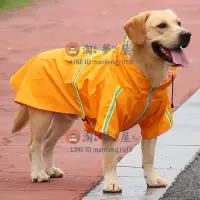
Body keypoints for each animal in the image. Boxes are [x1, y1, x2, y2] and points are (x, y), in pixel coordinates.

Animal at [10, 9, 191, 192]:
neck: (144, 75)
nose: (187, 35)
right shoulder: (109, 122)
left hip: (64, 119)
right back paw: (39, 173)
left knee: (48, 143)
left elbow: (149, 157)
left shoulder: (152, 123)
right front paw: (111, 183)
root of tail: (36, 58)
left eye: (179, 23)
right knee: (34, 145)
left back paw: (50, 170)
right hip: (42, 116)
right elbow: (110, 159)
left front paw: (152, 179)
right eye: (162, 25)